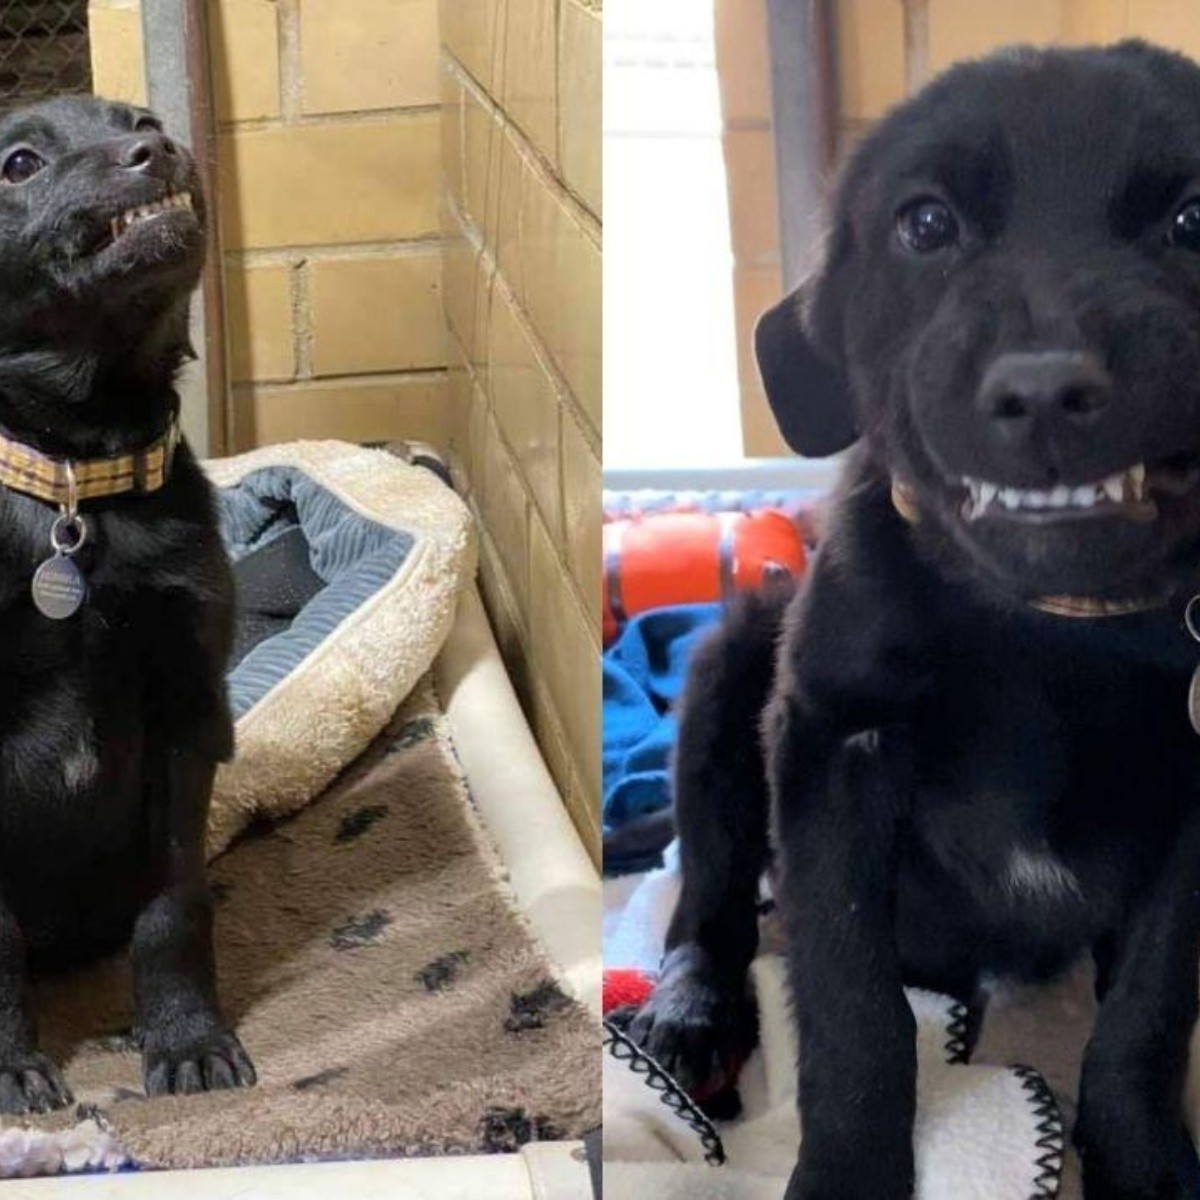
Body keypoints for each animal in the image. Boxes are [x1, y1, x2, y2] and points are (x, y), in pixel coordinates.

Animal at [0, 98, 254, 1108]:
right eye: (18, 164)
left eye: (137, 119)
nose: (160, 147)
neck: (76, 480)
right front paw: (14, 1069)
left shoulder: (185, 717)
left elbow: (173, 907)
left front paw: (185, 1041)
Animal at [624, 39, 1200, 1200]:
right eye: (925, 225)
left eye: (1193, 219)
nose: (1045, 392)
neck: (1049, 628)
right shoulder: (831, 750)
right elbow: (854, 1003)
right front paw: (847, 1170)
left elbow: (1148, 1011)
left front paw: (1138, 1160)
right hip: (732, 662)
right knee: (709, 898)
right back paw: (689, 1014)